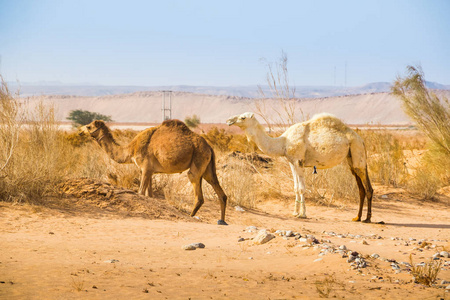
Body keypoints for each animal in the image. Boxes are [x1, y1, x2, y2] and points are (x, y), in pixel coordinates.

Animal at [79, 119, 229, 225]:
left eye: (89, 127)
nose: (80, 132)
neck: (131, 149)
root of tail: (209, 147)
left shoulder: (145, 168)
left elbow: (140, 193)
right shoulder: (149, 171)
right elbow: (149, 195)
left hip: (197, 161)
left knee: (198, 195)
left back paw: (190, 217)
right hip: (208, 167)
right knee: (220, 191)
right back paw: (222, 221)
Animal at [227, 111, 374, 221]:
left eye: (243, 117)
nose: (229, 120)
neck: (283, 142)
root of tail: (361, 139)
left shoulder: (299, 161)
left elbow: (302, 189)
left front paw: (302, 214)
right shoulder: (292, 162)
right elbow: (296, 188)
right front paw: (294, 212)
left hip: (357, 151)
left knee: (368, 187)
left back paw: (367, 218)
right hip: (351, 157)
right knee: (360, 187)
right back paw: (357, 217)